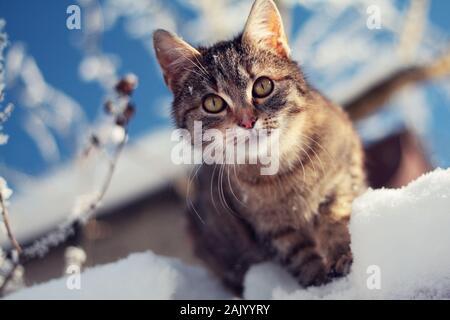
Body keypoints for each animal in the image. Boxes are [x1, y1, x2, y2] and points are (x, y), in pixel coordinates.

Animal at [154, 0, 366, 294]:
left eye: (263, 86)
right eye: (213, 103)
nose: (247, 121)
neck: (284, 170)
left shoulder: (342, 179)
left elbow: (335, 220)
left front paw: (342, 255)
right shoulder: (272, 229)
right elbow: (300, 255)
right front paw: (317, 282)